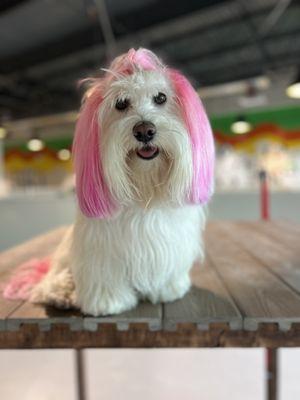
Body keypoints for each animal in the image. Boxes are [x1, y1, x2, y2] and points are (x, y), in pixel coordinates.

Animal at [29, 47, 214, 316]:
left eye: (161, 98)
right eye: (121, 103)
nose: (144, 130)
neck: (146, 188)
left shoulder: (170, 242)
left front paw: (168, 289)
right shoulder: (100, 249)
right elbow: (104, 276)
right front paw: (108, 302)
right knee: (49, 282)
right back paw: (62, 292)